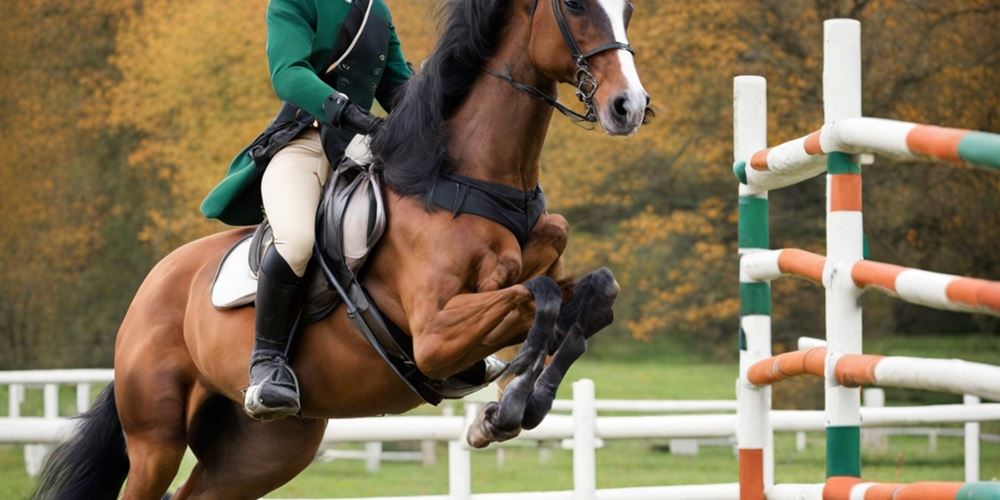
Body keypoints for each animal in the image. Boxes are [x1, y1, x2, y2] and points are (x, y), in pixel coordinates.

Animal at [33, 1, 648, 498]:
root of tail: (149, 290)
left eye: (628, 9)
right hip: (155, 441)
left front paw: (515, 404)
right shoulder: (435, 336)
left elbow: (593, 295)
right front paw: (505, 410)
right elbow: (540, 297)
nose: (630, 106)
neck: (470, 181)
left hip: (264, 451)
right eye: (575, 5)